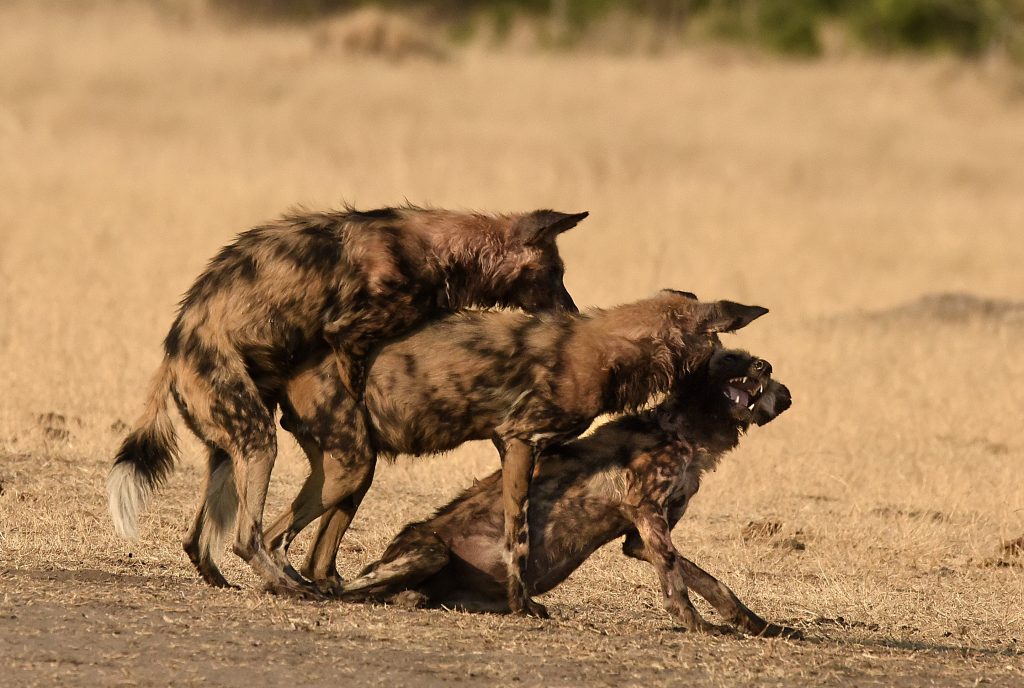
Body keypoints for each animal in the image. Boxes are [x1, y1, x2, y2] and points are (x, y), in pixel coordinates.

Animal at [104, 201, 589, 593]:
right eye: (556, 274)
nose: (574, 312)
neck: (444, 250)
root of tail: (173, 350)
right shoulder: (345, 334)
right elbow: (354, 384)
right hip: (259, 441)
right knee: (247, 535)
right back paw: (290, 586)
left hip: (231, 449)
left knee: (198, 536)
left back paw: (229, 579)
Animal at [264, 288, 770, 614]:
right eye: (723, 349)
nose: (761, 365)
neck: (610, 348)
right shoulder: (521, 440)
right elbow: (518, 537)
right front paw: (520, 603)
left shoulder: (517, 446)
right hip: (350, 471)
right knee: (269, 538)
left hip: (354, 473)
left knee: (311, 553)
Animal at [335, 346, 798, 638]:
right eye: (731, 358)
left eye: (765, 369)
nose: (765, 366)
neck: (690, 434)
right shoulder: (647, 515)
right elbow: (676, 586)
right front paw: (699, 627)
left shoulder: (640, 538)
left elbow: (714, 584)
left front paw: (761, 627)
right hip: (428, 553)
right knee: (350, 590)